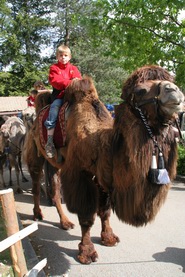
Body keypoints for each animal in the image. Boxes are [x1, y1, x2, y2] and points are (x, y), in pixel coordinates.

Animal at [23, 65, 184, 264]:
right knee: (36, 184)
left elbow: (105, 211)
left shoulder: (103, 174)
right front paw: (87, 251)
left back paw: (65, 222)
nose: (174, 90)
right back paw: (37, 214)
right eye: (140, 90)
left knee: (54, 187)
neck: (99, 142)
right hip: (35, 153)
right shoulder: (81, 173)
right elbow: (86, 216)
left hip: (56, 163)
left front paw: (108, 237)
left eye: (172, 82)